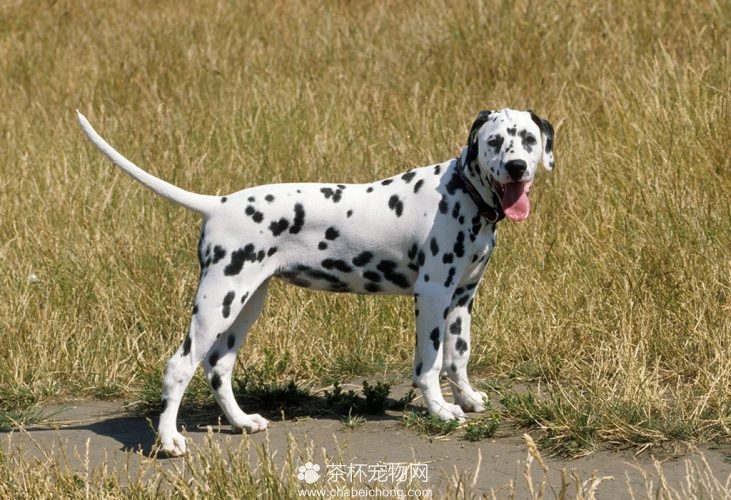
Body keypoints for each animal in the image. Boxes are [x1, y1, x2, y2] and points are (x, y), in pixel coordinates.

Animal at [76, 107, 556, 456]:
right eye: (495, 141)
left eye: (528, 140)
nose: (516, 166)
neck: (463, 195)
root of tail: (219, 203)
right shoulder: (433, 296)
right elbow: (430, 365)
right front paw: (440, 410)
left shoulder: (462, 297)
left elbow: (459, 356)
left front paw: (469, 398)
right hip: (218, 302)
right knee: (179, 367)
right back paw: (170, 441)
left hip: (246, 304)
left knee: (218, 367)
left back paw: (241, 422)